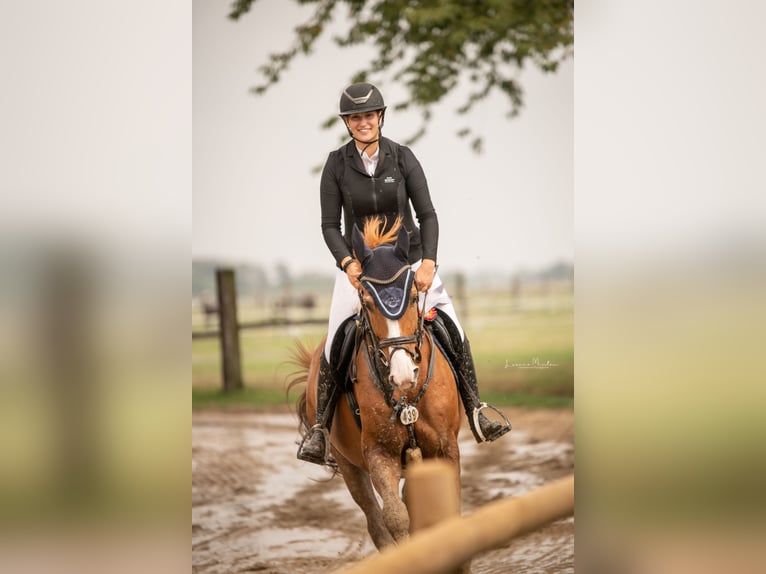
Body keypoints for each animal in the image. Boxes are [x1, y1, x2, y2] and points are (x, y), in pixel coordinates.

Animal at [290, 218, 462, 552]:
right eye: (368, 303)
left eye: (413, 298)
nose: (403, 373)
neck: (407, 397)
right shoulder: (381, 455)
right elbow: (395, 517)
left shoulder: (445, 447)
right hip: (348, 464)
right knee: (374, 518)